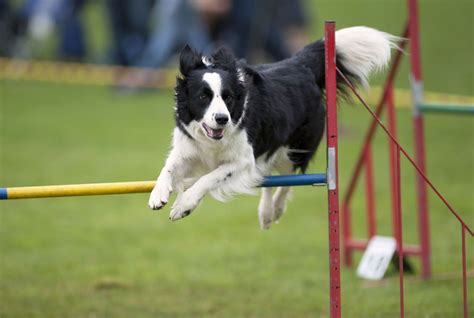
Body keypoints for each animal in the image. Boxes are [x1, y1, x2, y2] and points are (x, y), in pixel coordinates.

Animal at [148, 25, 400, 229]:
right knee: (268, 178)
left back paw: (274, 211)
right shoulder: (189, 149)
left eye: (228, 97)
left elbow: (210, 178)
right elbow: (168, 168)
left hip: (294, 148)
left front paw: (183, 205)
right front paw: (158, 194)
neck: (213, 140)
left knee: (287, 179)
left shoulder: (243, 160)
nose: (222, 119)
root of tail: (300, 65)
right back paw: (266, 213)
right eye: (203, 97)